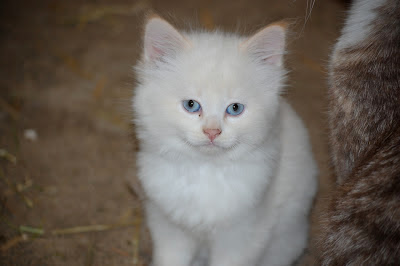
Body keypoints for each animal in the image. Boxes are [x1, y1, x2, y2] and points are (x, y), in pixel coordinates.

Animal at [133, 15, 318, 266]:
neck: (204, 170)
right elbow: (169, 259)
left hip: (285, 242)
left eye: (235, 109)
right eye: (191, 105)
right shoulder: (168, 228)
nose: (212, 132)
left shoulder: (241, 237)